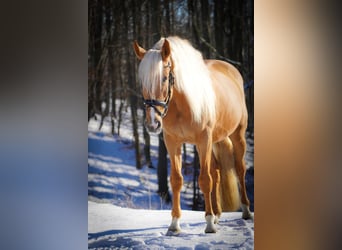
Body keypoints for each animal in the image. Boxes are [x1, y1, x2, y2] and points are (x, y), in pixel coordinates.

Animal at [134, 36, 254, 233]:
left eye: (164, 78)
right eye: (142, 82)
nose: (153, 124)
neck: (182, 105)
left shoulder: (203, 140)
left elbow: (205, 180)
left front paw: (209, 224)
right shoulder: (172, 142)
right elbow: (176, 180)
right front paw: (174, 224)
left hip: (237, 135)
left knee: (239, 169)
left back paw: (245, 211)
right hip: (214, 142)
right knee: (216, 172)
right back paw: (218, 214)